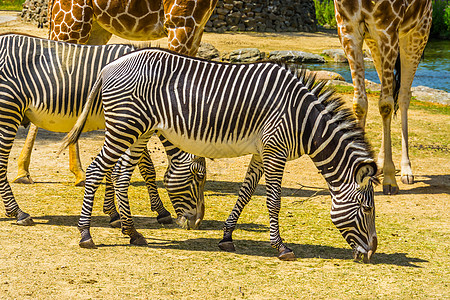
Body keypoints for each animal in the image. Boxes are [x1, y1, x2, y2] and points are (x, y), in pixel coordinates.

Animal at [0, 32, 205, 229]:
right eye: (198, 176)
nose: (197, 222)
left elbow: (117, 169)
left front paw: (113, 212)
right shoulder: (129, 122)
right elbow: (145, 168)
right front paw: (158, 211)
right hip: (8, 110)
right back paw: (18, 213)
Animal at [13, 0, 217, 185]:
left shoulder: (198, 26)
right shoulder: (181, 21)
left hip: (95, 27)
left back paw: (77, 173)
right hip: (71, 22)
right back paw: (24, 172)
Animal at [62, 48, 380, 262]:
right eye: (367, 209)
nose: (371, 253)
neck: (303, 119)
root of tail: (108, 67)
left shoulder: (262, 152)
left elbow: (246, 193)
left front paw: (227, 237)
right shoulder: (275, 150)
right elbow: (274, 201)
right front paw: (281, 247)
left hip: (139, 130)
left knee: (121, 173)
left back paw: (132, 233)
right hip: (125, 126)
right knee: (96, 169)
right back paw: (86, 234)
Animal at [334, 0, 432, 195]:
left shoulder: (388, 28)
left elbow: (385, 105)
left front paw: (390, 179)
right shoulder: (347, 28)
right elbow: (359, 103)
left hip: (417, 34)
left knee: (403, 95)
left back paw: (406, 170)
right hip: (374, 42)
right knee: (393, 89)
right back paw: (379, 162)